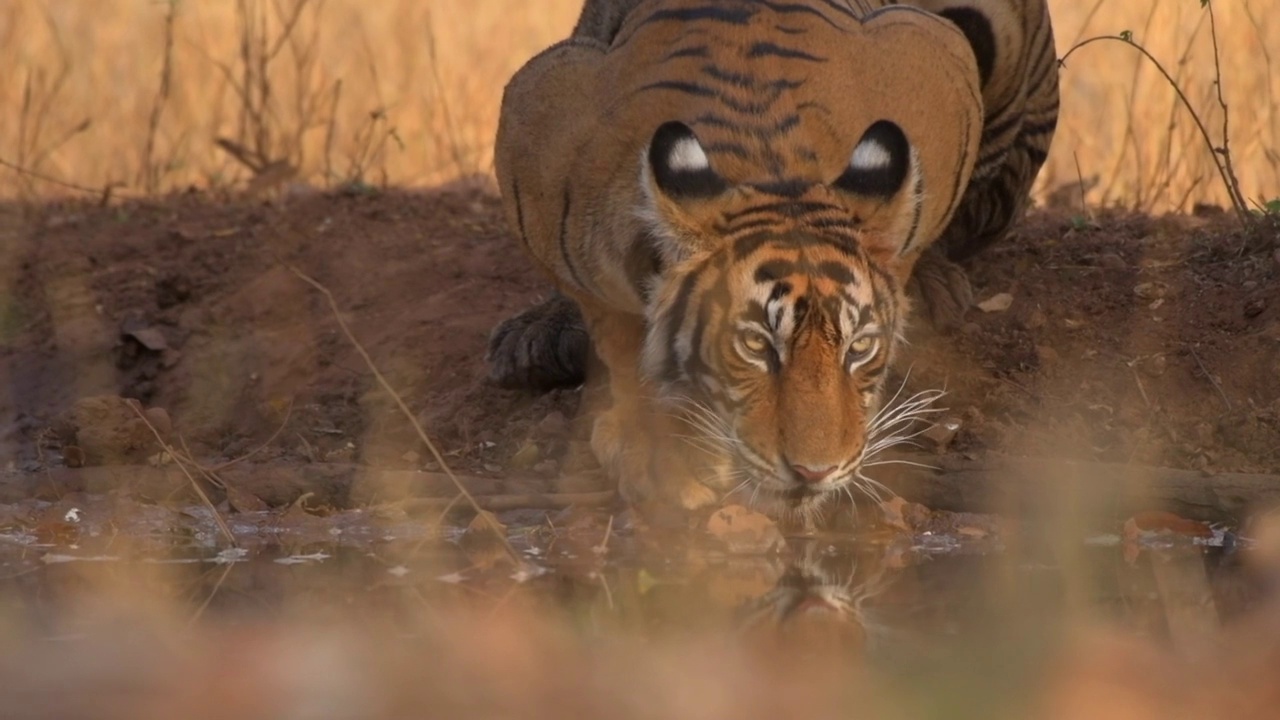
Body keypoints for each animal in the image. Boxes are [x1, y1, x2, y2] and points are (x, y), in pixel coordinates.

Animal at [488, 0, 1059, 515]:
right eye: (755, 347)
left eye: (859, 347)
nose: (816, 471)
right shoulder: (536, 117)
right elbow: (619, 336)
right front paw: (654, 444)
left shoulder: (935, 59)